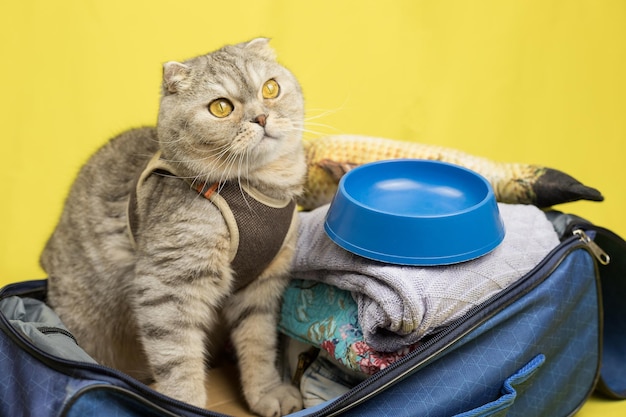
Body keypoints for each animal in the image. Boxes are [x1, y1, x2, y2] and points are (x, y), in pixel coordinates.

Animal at [40, 37, 306, 414]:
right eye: (221, 108)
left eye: (271, 89)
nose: (262, 116)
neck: (259, 188)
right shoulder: (169, 287)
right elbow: (178, 360)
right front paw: (187, 405)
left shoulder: (262, 286)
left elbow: (259, 345)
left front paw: (267, 392)